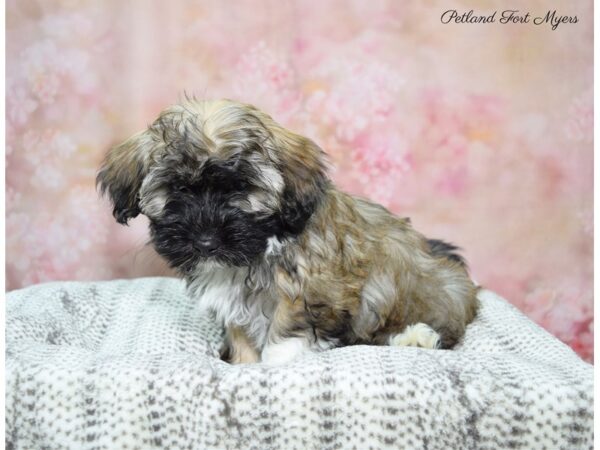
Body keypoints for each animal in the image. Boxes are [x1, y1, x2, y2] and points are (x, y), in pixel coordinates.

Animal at [97, 99, 478, 366]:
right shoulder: (234, 299)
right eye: (178, 188)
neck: (262, 243)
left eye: (241, 188)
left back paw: (415, 338)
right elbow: (241, 331)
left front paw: (276, 361)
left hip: (439, 293)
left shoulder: (313, 287)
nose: (206, 241)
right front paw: (244, 364)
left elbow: (288, 326)